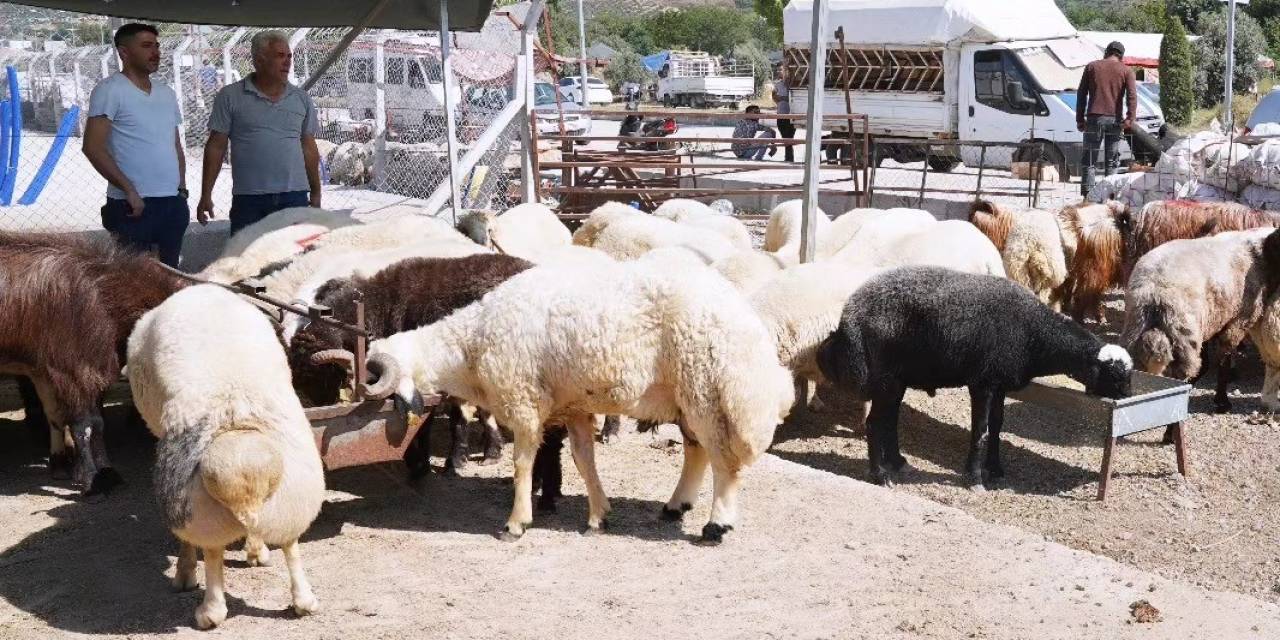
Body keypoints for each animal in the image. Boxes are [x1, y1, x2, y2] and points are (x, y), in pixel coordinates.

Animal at [126, 286, 325, 629]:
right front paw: (256, 551)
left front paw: (185, 573)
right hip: (295, 488)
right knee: (290, 540)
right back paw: (303, 599)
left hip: (196, 506)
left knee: (213, 551)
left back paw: (209, 609)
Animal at [366, 257, 793, 542]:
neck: (470, 346)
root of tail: (744, 316)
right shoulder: (573, 408)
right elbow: (583, 462)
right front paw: (598, 516)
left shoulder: (524, 403)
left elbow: (523, 465)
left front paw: (516, 523)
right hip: (689, 394)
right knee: (696, 450)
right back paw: (676, 506)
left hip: (709, 388)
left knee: (722, 460)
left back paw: (715, 525)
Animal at [819, 263, 1131, 483]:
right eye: (1115, 375)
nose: (1127, 398)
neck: (1035, 335)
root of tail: (852, 312)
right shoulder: (982, 382)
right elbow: (980, 429)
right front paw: (974, 477)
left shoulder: (1000, 383)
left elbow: (997, 426)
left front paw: (996, 470)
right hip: (884, 377)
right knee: (874, 422)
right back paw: (880, 475)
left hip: (897, 379)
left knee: (889, 420)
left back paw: (897, 463)